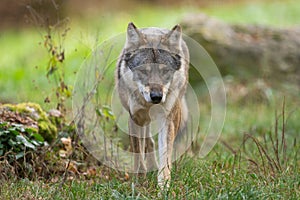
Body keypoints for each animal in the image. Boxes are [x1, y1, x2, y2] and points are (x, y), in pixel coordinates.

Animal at [115, 22, 190, 188]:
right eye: (143, 71)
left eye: (165, 71)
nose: (156, 97)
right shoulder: (135, 118)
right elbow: (138, 151)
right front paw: (139, 180)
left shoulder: (167, 120)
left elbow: (165, 155)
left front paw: (164, 185)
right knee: (148, 141)